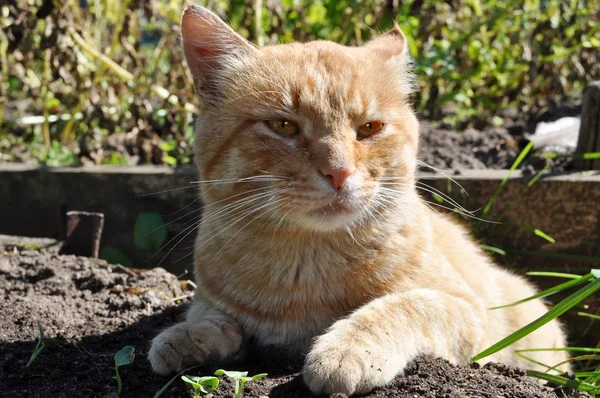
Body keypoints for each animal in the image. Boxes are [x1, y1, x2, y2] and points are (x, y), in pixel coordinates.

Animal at [148, 4, 568, 396]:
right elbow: (209, 315)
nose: (339, 172)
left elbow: (402, 307)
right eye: (283, 125)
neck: (305, 269)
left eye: (368, 128)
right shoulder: (209, 295)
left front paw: (347, 350)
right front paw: (186, 336)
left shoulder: (464, 308)